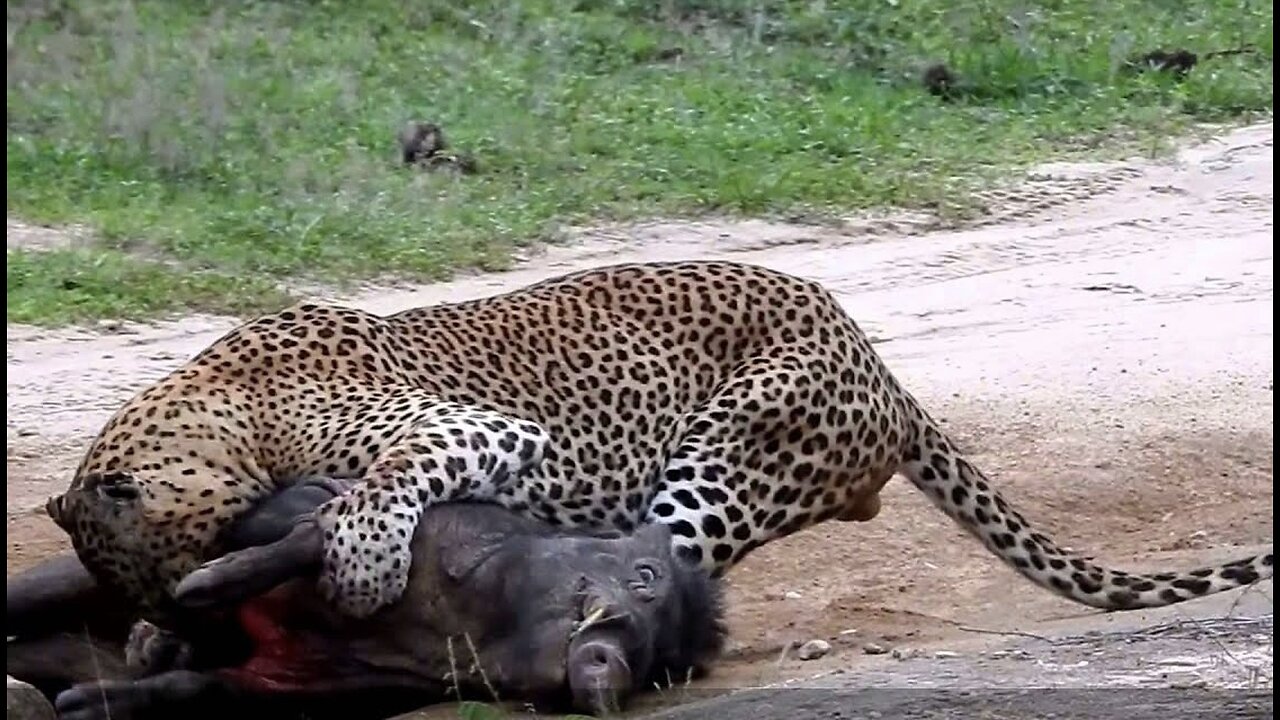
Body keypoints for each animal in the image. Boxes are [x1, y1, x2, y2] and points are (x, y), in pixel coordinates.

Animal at [45, 256, 1274, 622]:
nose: (162, 617)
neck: (216, 404)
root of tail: (870, 348)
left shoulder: (481, 428)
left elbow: (373, 488)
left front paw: (356, 566)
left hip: (725, 456)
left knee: (646, 566)